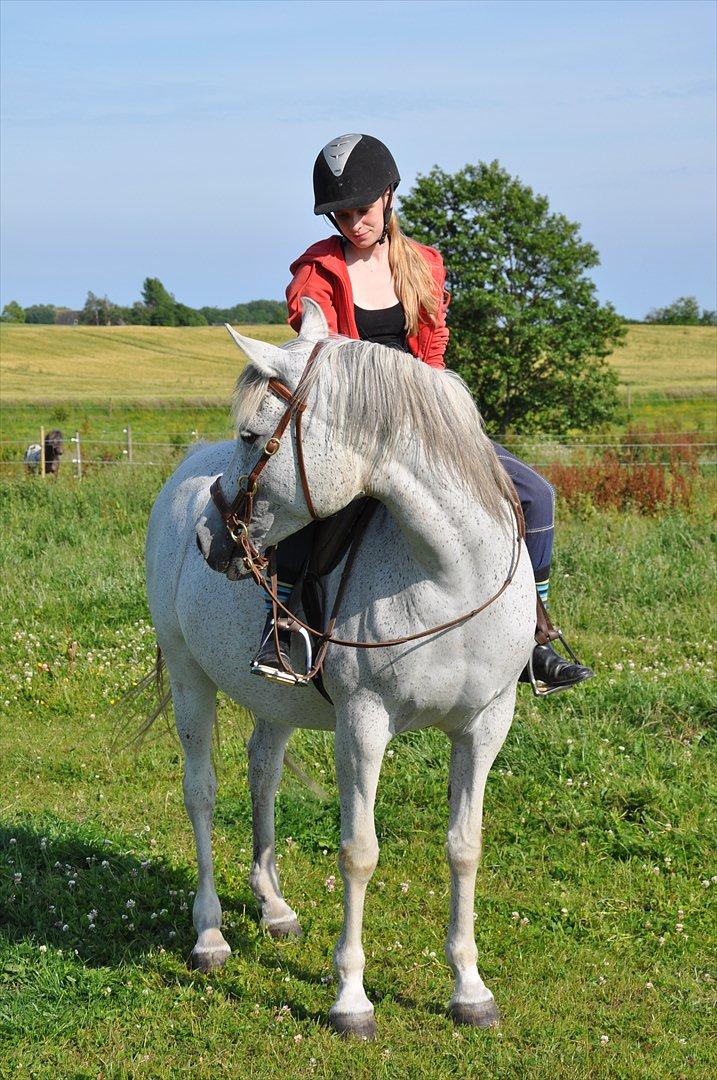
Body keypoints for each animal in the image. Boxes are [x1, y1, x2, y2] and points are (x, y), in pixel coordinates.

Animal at [145, 298, 535, 1036]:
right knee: (201, 792)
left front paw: (469, 988)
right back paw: (209, 934)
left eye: (251, 434)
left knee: (262, 773)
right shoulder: (364, 724)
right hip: (188, 679)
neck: (450, 574)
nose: (212, 537)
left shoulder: (485, 725)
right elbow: (359, 851)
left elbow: (464, 846)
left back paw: (273, 907)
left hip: (274, 699)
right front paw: (351, 998)